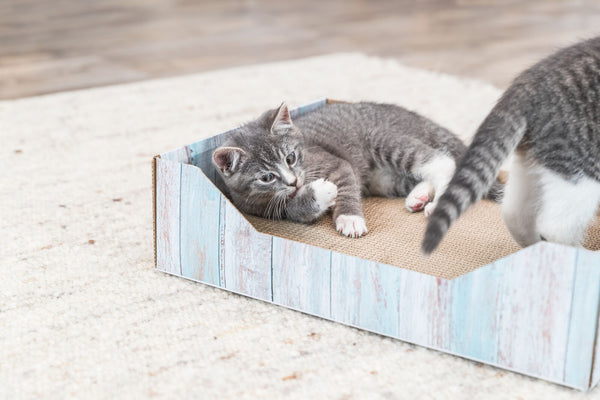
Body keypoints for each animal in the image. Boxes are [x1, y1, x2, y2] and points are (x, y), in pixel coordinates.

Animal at [211, 101, 502, 238]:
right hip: (383, 180)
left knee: (442, 162)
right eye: (267, 177)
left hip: (382, 138)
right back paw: (418, 197)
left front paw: (349, 218)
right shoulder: (263, 207)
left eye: (291, 158)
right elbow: (297, 209)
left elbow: (346, 186)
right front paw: (317, 194)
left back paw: (436, 202)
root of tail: (424, 121)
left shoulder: (337, 162)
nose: (293, 182)